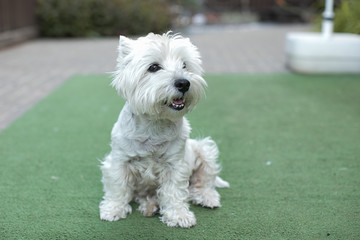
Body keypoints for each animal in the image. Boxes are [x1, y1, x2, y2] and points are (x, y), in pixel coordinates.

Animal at [99, 32, 228, 229]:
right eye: (153, 67)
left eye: (184, 65)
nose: (184, 83)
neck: (155, 125)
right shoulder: (119, 161)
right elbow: (118, 187)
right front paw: (113, 209)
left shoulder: (175, 165)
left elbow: (174, 191)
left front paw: (179, 216)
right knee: (145, 195)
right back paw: (149, 206)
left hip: (205, 150)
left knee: (203, 182)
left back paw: (207, 198)